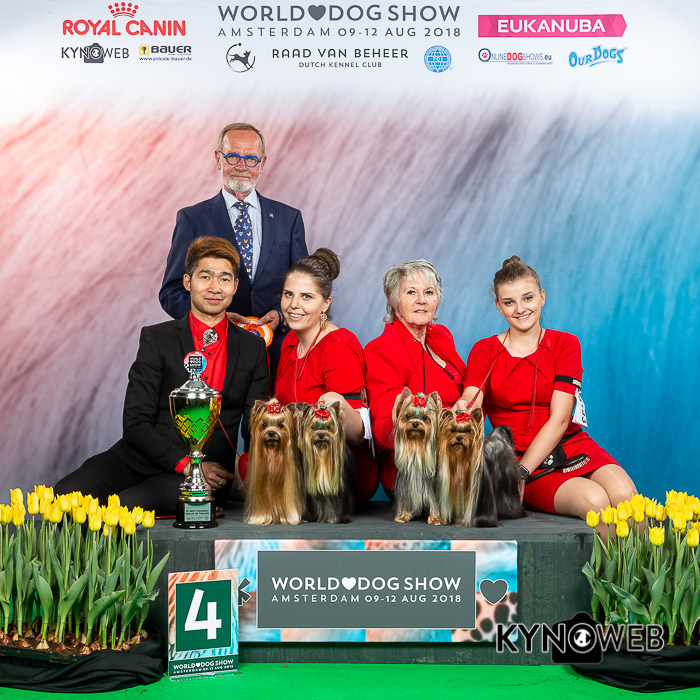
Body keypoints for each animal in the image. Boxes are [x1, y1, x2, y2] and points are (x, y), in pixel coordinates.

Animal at [391, 388, 442, 524]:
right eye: (408, 416)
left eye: (425, 418)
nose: (415, 424)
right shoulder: (404, 486)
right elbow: (404, 500)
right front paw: (402, 517)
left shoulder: (433, 488)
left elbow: (435, 502)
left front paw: (435, 519)